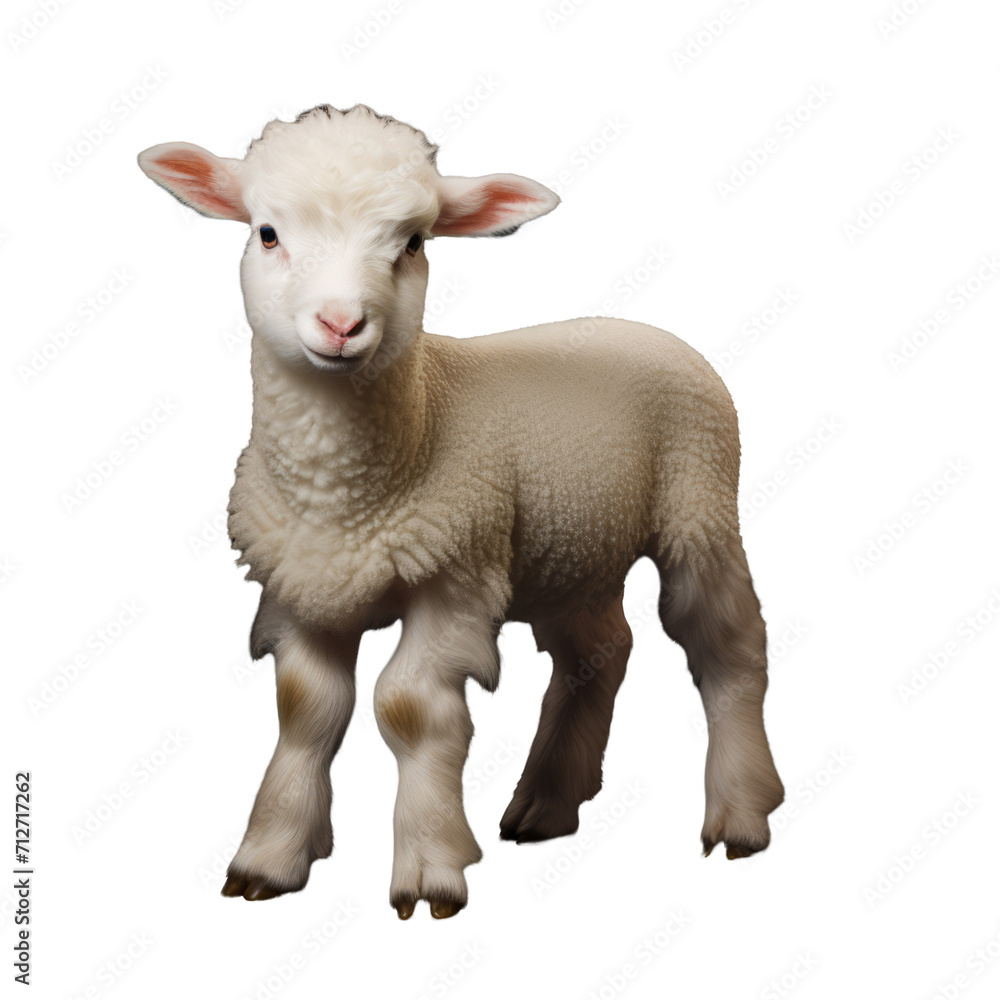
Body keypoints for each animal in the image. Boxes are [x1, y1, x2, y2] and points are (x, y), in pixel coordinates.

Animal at [137, 103, 784, 919]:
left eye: (413, 242)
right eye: (268, 233)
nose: (341, 324)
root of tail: (635, 325)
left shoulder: (455, 575)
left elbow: (407, 708)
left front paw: (429, 869)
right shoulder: (300, 585)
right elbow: (306, 709)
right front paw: (271, 857)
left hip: (698, 503)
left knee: (726, 643)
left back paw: (741, 813)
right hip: (568, 550)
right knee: (599, 653)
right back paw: (547, 803)